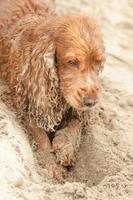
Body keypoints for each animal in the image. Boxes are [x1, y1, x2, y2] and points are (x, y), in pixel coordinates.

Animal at [0, 0, 105, 180]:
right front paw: (51, 166)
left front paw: (66, 148)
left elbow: (76, 123)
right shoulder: (26, 104)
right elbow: (41, 137)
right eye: (72, 62)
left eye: (99, 62)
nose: (91, 102)